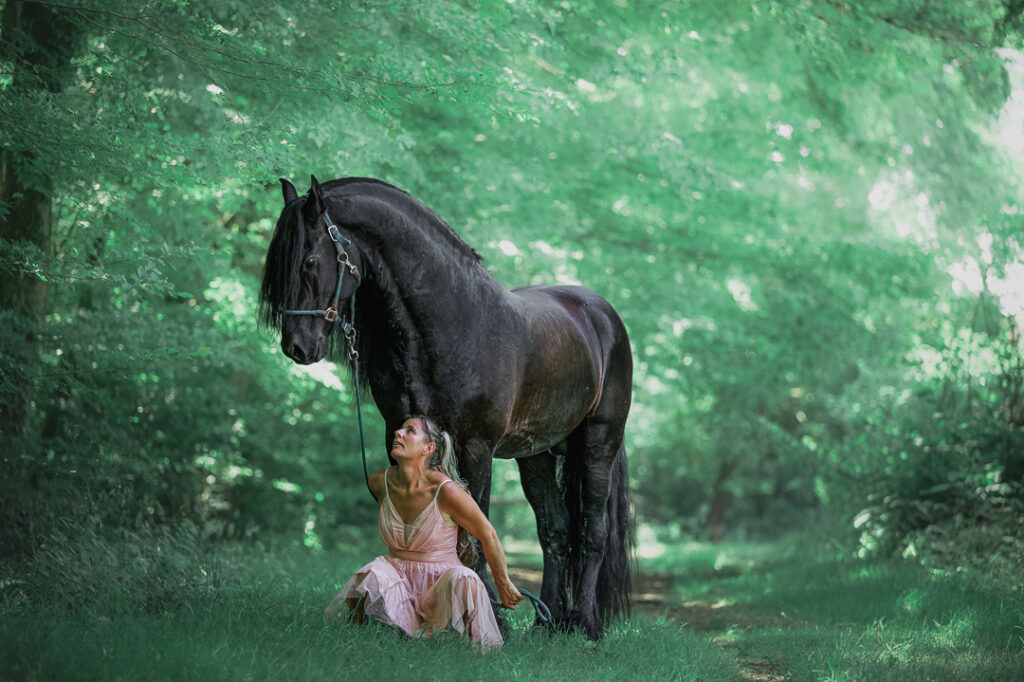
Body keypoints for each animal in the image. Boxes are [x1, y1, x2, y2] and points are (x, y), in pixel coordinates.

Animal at [258, 176, 633, 639]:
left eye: (310, 259)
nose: (297, 346)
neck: (449, 322)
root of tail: (601, 314)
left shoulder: (476, 446)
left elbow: (477, 527)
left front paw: (492, 618)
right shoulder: (398, 435)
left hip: (599, 443)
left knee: (592, 530)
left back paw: (584, 623)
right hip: (537, 455)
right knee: (556, 529)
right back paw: (549, 623)